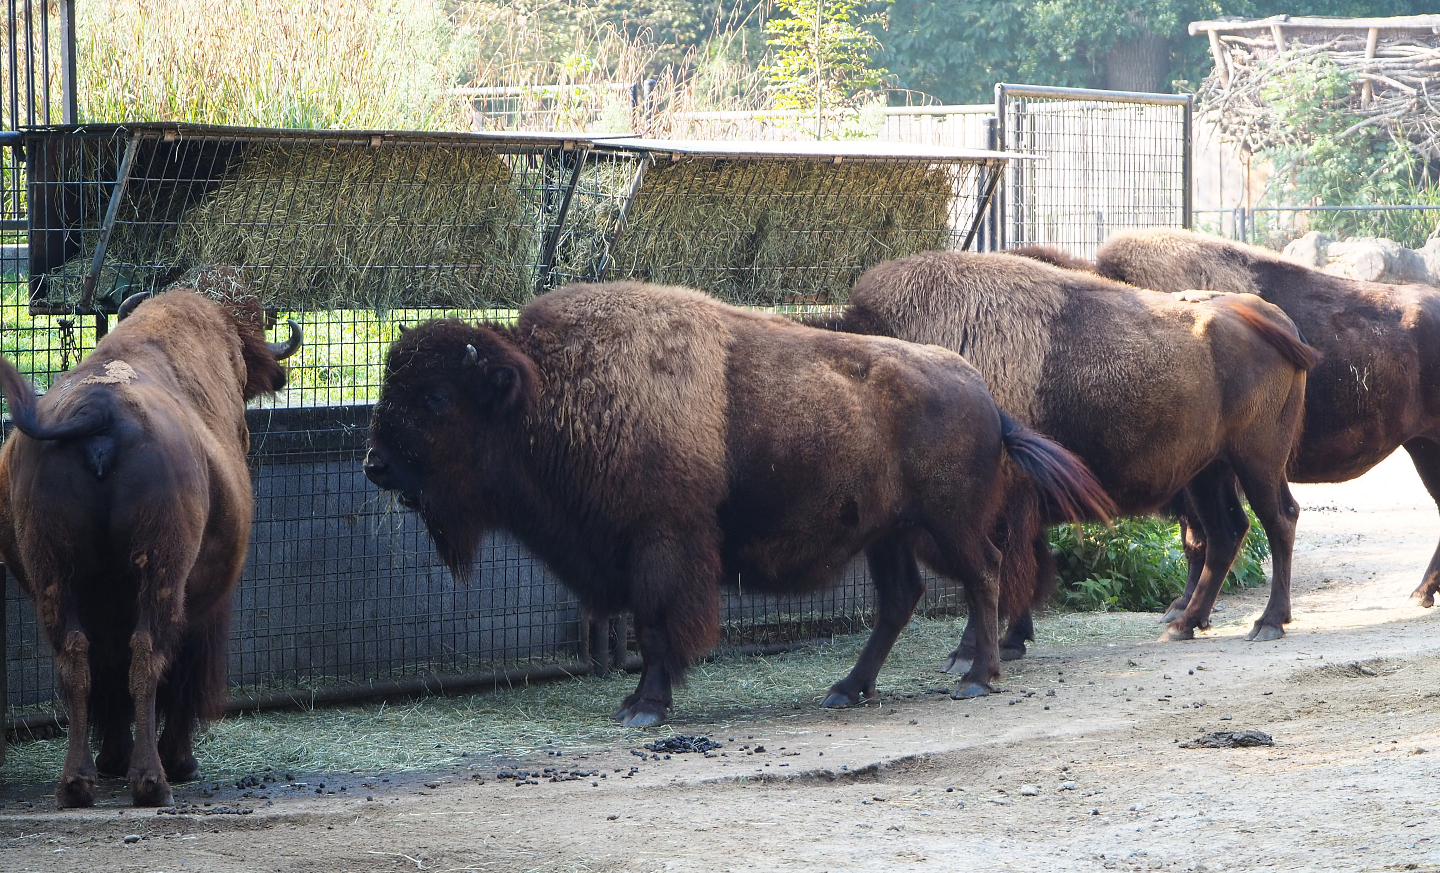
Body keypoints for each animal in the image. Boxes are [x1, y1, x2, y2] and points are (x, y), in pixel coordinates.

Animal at [0, 281, 300, 807]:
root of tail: (100, 410)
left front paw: (113, 759)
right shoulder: (206, 608)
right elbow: (180, 675)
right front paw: (181, 762)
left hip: (54, 575)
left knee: (77, 659)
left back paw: (78, 783)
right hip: (162, 574)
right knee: (148, 654)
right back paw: (152, 780)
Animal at [364, 281, 1114, 727]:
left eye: (435, 398)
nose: (374, 465)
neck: (546, 389)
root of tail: (984, 393)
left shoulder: (662, 547)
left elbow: (656, 629)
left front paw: (645, 705)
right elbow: (648, 628)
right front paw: (637, 700)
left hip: (946, 525)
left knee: (984, 575)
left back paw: (977, 678)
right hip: (888, 535)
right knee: (901, 600)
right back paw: (846, 688)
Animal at [808, 251, 1315, 648]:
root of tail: (1272, 317)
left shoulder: (997, 506)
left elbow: (998, 573)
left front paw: (983, 650)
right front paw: (1011, 641)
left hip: (1257, 462)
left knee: (1278, 519)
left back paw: (1267, 623)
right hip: (1209, 471)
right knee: (1227, 532)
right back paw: (1185, 624)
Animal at [1096, 227, 1440, 609]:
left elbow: (1200, 538)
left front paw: (1183, 607)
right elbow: (1194, 539)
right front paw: (1181, 607)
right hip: (1423, 446)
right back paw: (1421, 593)